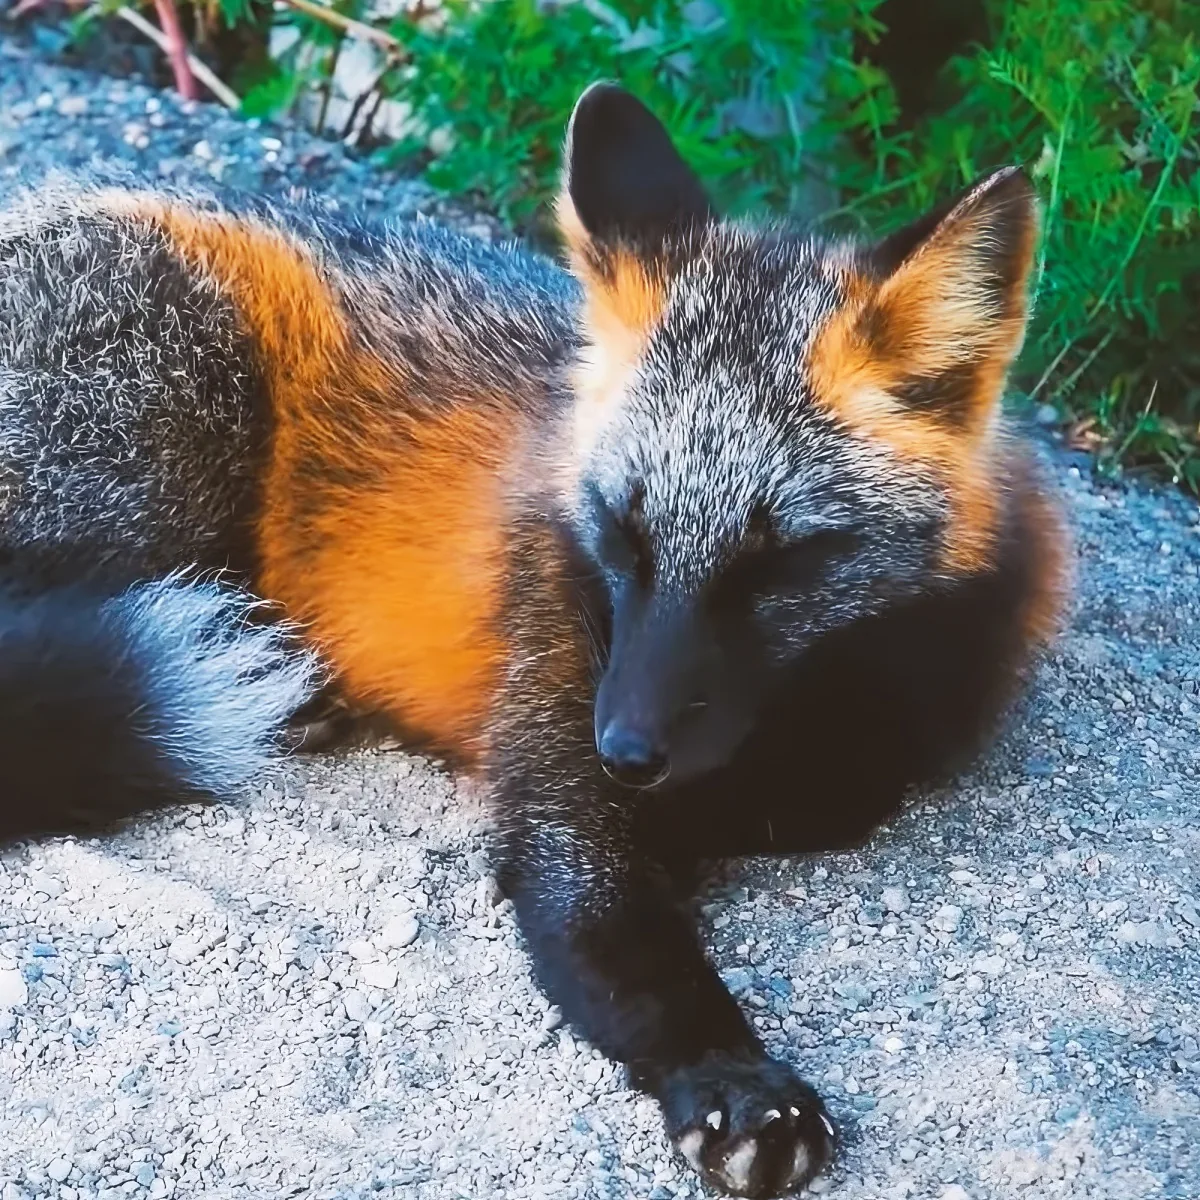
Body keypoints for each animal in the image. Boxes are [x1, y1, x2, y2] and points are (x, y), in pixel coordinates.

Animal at [0, 84, 1067, 1197]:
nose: (625, 752)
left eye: (777, 563)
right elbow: (627, 943)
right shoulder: (559, 759)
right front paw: (735, 1081)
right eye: (623, 533)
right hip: (170, 450)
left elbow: (835, 792)